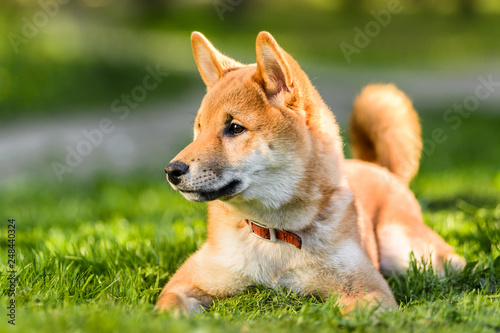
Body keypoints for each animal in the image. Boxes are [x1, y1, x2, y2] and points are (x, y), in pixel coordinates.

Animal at [156, 29, 464, 312]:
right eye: (199, 128)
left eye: (235, 128)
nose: (171, 170)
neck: (274, 233)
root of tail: (377, 167)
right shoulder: (187, 282)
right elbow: (167, 307)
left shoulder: (367, 289)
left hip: (402, 248)